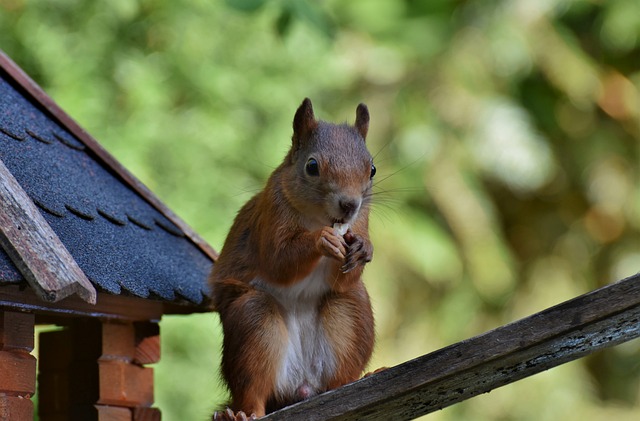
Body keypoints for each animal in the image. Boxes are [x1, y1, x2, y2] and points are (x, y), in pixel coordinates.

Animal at [210, 99, 378, 420]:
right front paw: (321, 240)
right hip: (255, 322)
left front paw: (364, 248)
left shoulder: (361, 219)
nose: (349, 204)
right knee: (253, 389)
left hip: (350, 312)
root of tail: (302, 385)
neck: (318, 218)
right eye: (312, 166)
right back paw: (242, 414)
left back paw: (355, 380)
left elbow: (344, 277)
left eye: (372, 169)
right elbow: (279, 261)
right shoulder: (271, 215)